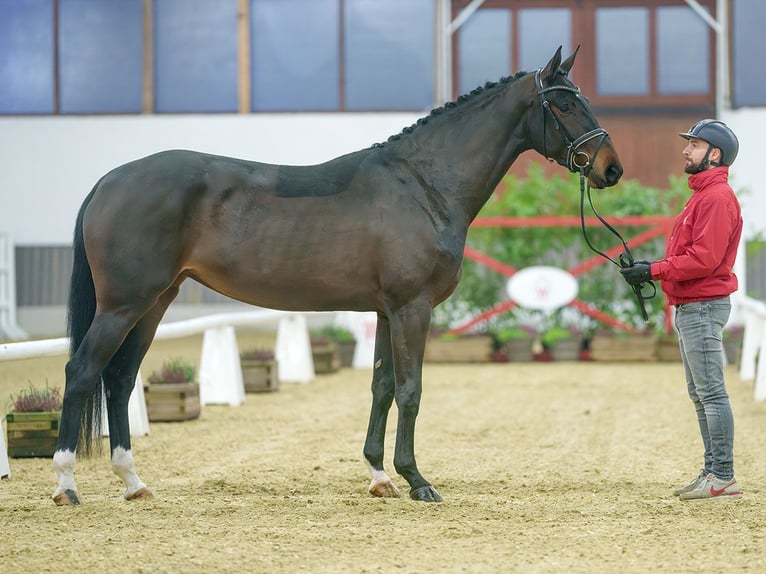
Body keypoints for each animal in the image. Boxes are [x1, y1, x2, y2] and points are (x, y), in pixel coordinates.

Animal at [52, 49, 624, 508]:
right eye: (565, 104)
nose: (611, 169)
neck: (423, 185)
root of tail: (108, 181)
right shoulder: (412, 308)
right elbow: (411, 389)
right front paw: (417, 481)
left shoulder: (386, 312)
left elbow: (382, 387)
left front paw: (379, 476)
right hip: (124, 305)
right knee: (82, 372)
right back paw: (66, 486)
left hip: (154, 303)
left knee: (120, 378)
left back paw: (133, 483)